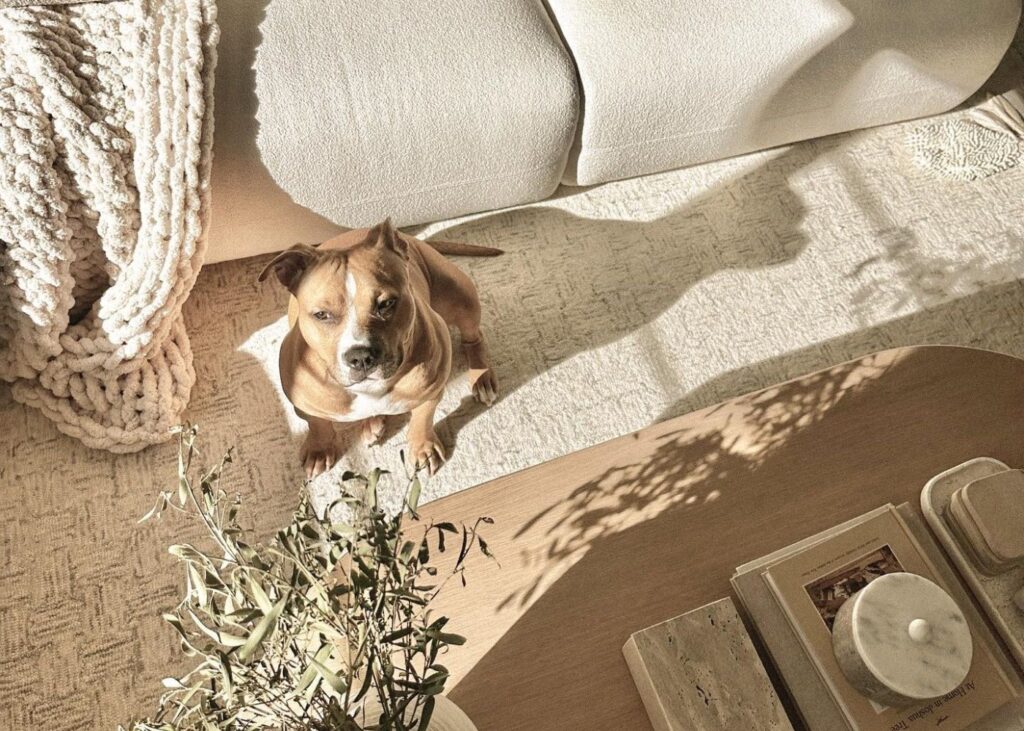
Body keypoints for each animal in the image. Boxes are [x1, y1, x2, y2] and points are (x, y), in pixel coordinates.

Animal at [256, 219, 495, 475]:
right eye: (321, 315)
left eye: (387, 304)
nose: (360, 357)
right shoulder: (304, 404)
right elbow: (317, 423)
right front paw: (319, 449)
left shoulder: (432, 391)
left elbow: (422, 419)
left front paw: (423, 447)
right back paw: (372, 422)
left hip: (460, 296)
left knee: (474, 338)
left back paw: (482, 379)